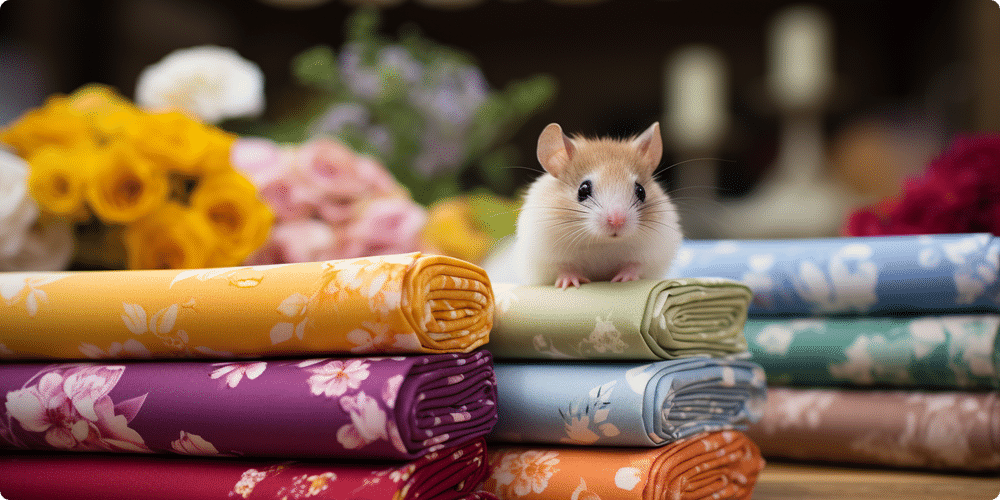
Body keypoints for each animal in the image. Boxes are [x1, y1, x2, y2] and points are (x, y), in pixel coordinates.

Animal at [513, 122, 683, 289]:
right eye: (583, 189)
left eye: (641, 191)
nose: (617, 221)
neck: (602, 242)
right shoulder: (548, 258)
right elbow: (564, 269)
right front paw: (571, 283)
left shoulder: (651, 256)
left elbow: (634, 266)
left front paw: (622, 279)